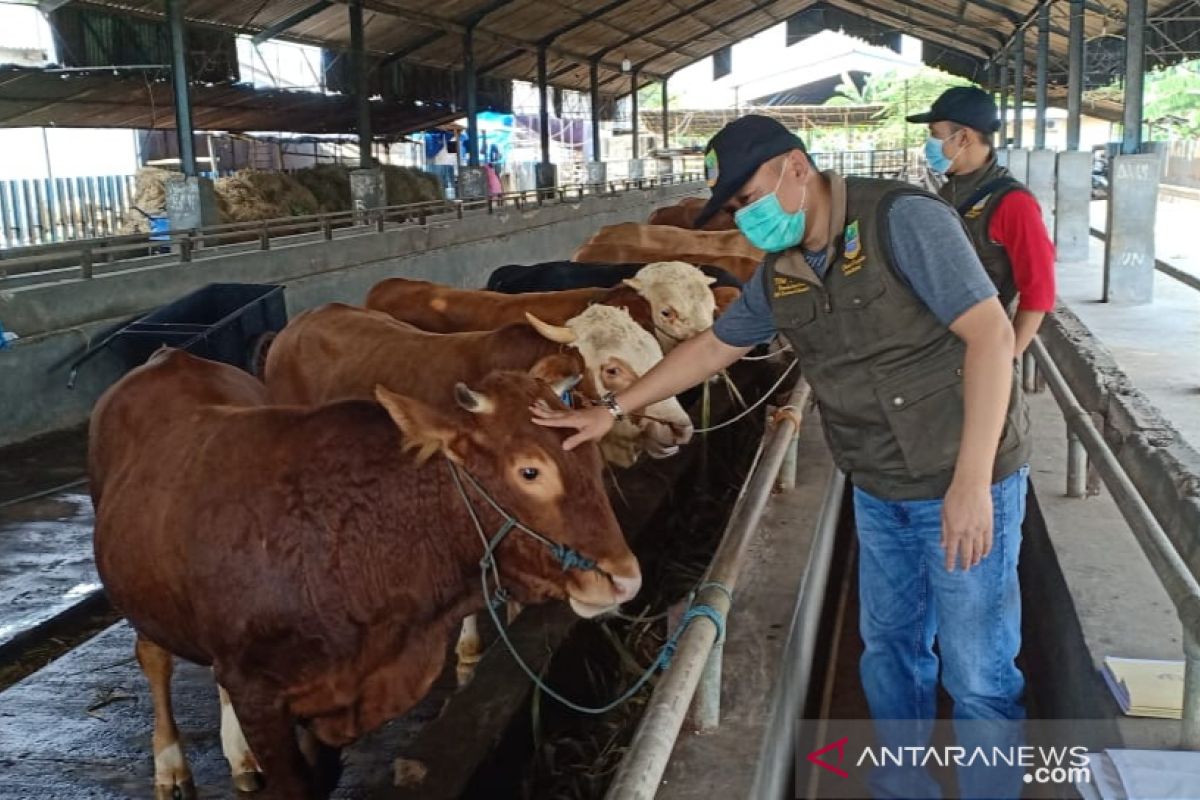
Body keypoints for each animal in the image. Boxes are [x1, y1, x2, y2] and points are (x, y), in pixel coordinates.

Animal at [90, 350, 643, 800]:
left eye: (592, 455)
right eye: (530, 471)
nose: (625, 578)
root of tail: (168, 356)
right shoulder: (258, 692)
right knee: (153, 657)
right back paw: (170, 765)